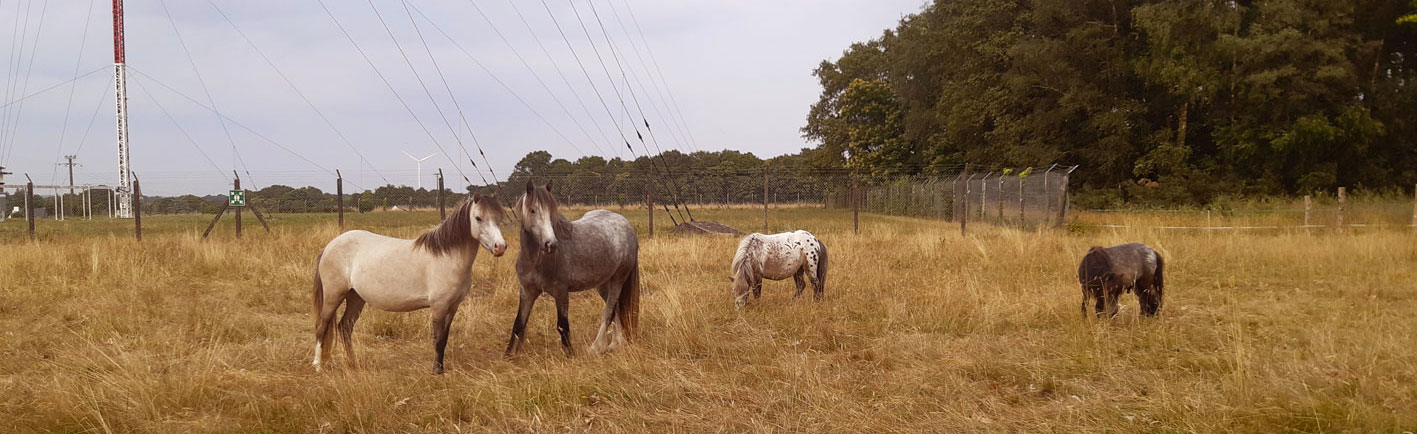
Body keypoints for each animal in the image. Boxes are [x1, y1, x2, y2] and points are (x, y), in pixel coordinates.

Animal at [313, 194, 507, 374]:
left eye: (499, 217)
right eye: (478, 218)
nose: (500, 247)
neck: (447, 257)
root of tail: (329, 246)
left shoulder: (453, 307)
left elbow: (444, 338)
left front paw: (441, 369)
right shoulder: (439, 306)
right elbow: (438, 339)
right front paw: (436, 371)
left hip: (355, 297)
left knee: (345, 327)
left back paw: (353, 363)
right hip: (334, 295)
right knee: (322, 326)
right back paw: (318, 366)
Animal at [507, 179, 640, 355]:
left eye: (551, 211)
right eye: (533, 210)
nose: (551, 244)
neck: (536, 260)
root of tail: (628, 226)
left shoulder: (561, 292)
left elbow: (563, 326)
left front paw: (570, 354)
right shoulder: (527, 292)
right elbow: (518, 324)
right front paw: (508, 355)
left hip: (618, 279)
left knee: (609, 311)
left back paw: (596, 347)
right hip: (604, 284)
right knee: (617, 309)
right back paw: (616, 343)